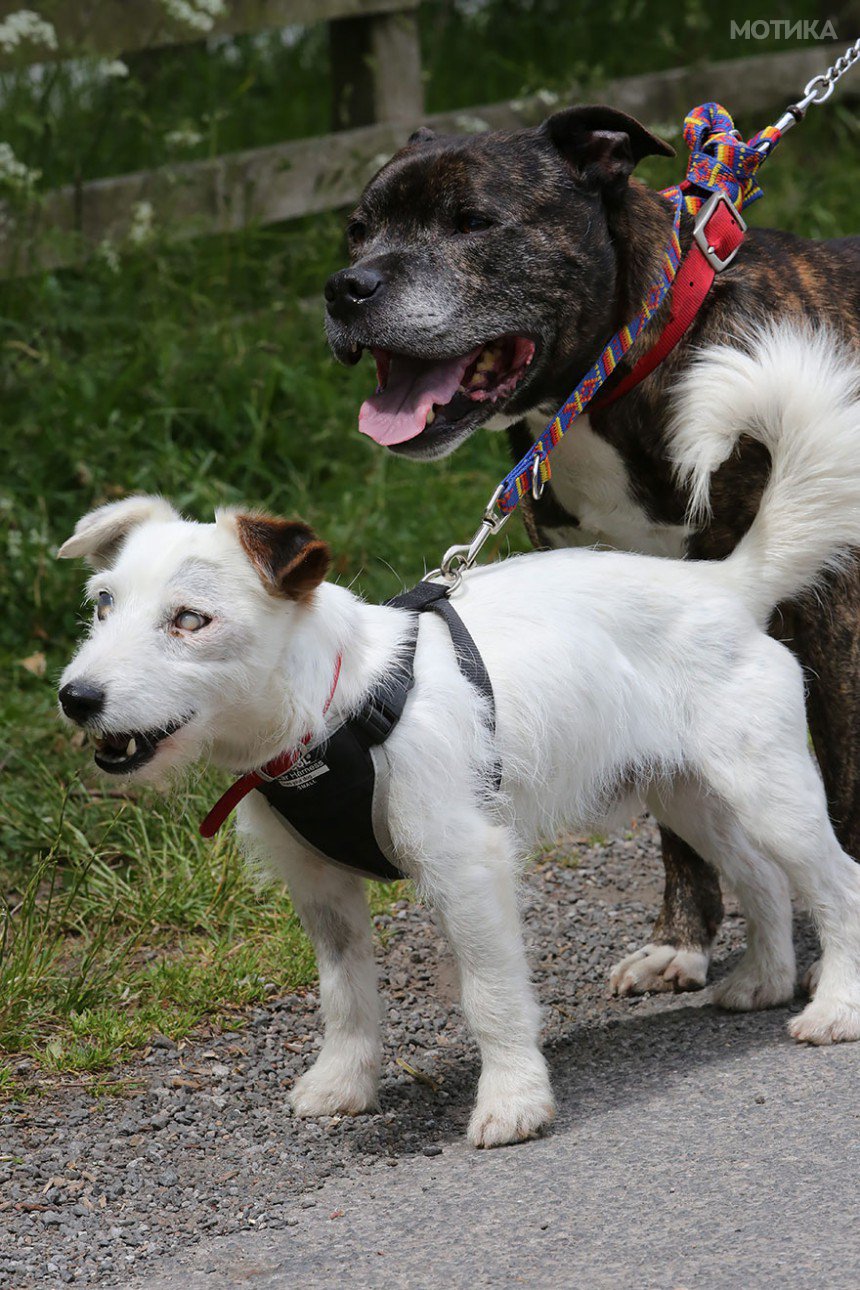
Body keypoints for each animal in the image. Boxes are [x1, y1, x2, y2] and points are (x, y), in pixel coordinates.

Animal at [62, 325, 860, 1150]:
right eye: (102, 603)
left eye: (191, 619)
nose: (77, 699)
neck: (334, 708)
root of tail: (726, 586)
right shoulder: (320, 888)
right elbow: (345, 995)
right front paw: (344, 1081)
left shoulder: (466, 867)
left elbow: (491, 994)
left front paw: (513, 1099)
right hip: (689, 796)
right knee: (761, 877)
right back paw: (764, 979)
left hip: (771, 794)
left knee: (839, 884)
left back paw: (835, 1005)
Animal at [322, 108, 860, 995]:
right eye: (358, 230)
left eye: (473, 222)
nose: (346, 288)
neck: (619, 383)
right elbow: (678, 827)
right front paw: (681, 940)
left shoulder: (831, 612)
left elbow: (846, 792)